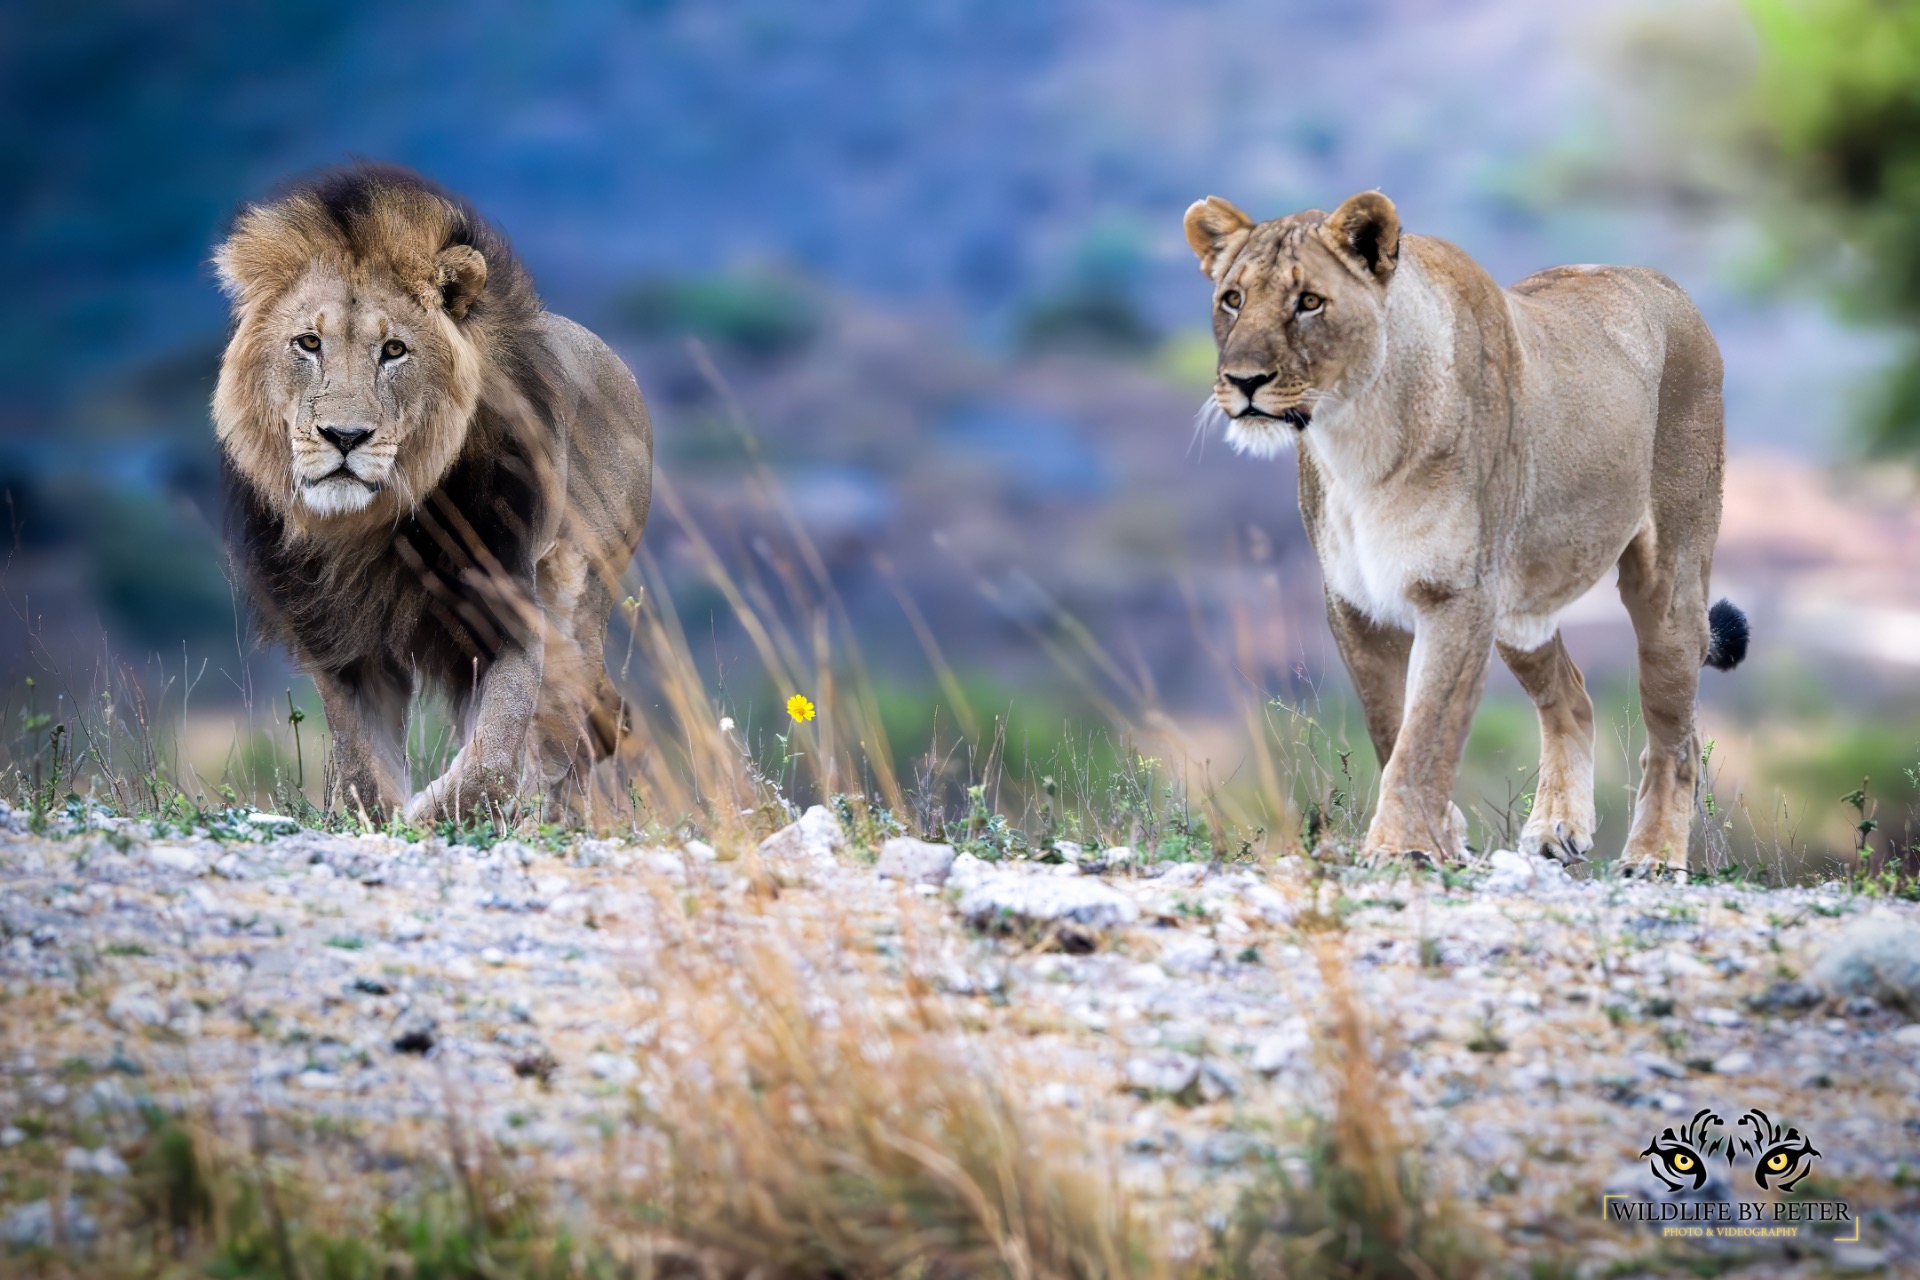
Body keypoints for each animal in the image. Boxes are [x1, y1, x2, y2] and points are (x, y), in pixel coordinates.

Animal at [213, 164, 652, 823]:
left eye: (394, 350)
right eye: (308, 344)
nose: (344, 436)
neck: (369, 530)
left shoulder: (508, 614)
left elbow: (491, 763)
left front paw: (432, 812)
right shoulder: (342, 644)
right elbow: (361, 767)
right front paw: (380, 816)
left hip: (581, 595)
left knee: (567, 724)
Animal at [1183, 190, 1748, 876]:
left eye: (1310, 301)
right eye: (1232, 299)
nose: (1243, 381)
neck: (1355, 435)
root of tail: (1663, 283)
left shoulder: (1458, 595)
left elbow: (1425, 731)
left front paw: (1401, 847)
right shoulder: (1355, 602)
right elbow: (1390, 725)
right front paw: (1442, 836)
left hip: (1668, 583)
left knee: (1676, 736)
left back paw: (1655, 858)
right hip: (1521, 609)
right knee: (1573, 697)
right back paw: (1556, 829)